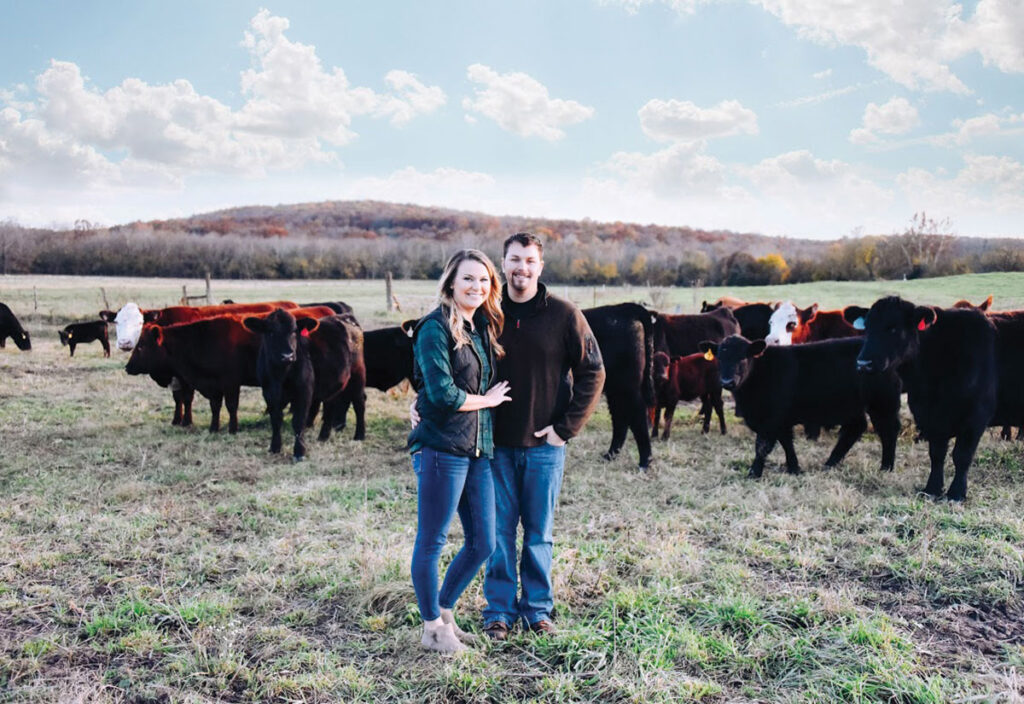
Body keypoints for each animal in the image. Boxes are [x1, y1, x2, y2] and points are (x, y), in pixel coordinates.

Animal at [585, 300, 655, 466]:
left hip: (626, 387)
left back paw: (645, 461)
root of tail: (624, 308)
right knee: (620, 419)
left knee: (637, 415)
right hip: (615, 389)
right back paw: (610, 455)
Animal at [700, 335, 901, 478]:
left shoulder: (771, 420)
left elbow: (762, 446)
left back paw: (886, 468)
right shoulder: (780, 421)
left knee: (888, 431)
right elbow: (786, 443)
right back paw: (829, 464)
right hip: (853, 407)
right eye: (719, 358)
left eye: (742, 358)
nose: (727, 381)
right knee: (855, 429)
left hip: (882, 403)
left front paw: (754, 473)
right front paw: (794, 468)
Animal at [843, 296, 995, 501]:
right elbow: (937, 453)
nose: (863, 363)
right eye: (866, 327)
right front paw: (932, 489)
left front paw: (956, 494)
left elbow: (962, 455)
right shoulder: (932, 417)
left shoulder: (976, 415)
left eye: (894, 328)